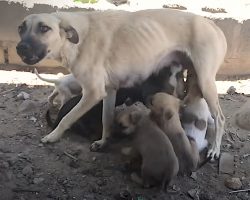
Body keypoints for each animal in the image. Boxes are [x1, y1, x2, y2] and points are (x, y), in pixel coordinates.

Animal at [15, 8, 227, 159]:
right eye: (20, 28)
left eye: (44, 28)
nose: (20, 48)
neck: (78, 39)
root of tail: (213, 24)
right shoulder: (109, 90)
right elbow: (106, 119)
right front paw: (103, 141)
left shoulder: (93, 93)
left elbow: (67, 117)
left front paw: (53, 136)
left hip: (206, 83)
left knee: (220, 118)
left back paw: (215, 149)